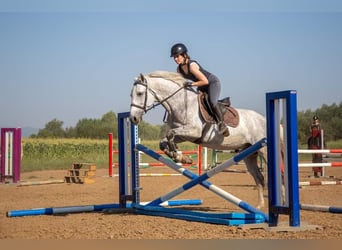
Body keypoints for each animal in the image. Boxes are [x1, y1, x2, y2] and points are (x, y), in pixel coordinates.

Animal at [130, 70, 272, 207]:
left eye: (140, 93)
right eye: (131, 95)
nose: (133, 118)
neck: (180, 103)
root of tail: (263, 119)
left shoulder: (194, 131)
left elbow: (170, 134)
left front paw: (178, 155)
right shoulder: (183, 135)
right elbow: (164, 142)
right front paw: (180, 157)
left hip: (263, 150)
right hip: (249, 153)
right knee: (259, 178)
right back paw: (259, 206)